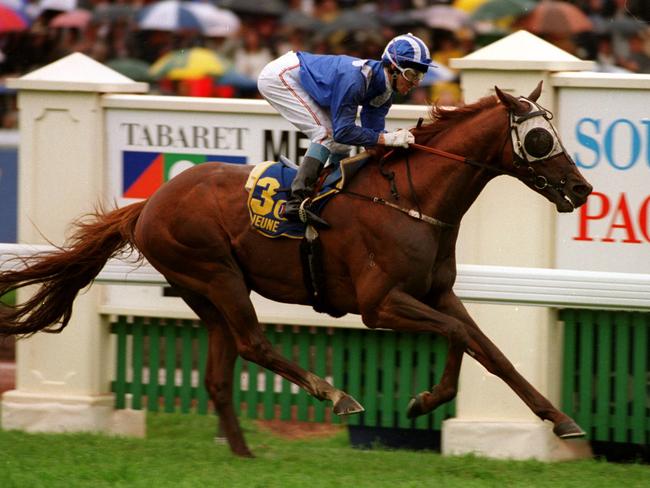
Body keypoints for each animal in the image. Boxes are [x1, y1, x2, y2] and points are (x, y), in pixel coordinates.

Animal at [0, 84, 588, 458]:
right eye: (540, 137)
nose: (581, 188)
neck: (412, 199)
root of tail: (147, 205)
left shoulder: (437, 293)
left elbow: (489, 350)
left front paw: (560, 420)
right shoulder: (380, 304)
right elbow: (460, 336)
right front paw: (425, 401)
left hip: (202, 292)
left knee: (219, 372)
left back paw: (243, 452)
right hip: (216, 274)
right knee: (254, 344)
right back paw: (334, 395)